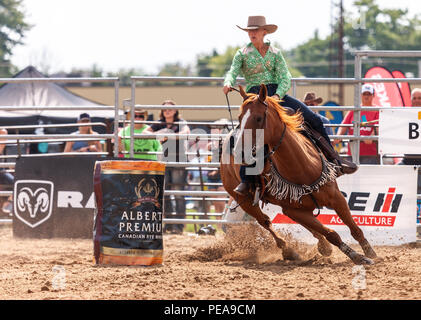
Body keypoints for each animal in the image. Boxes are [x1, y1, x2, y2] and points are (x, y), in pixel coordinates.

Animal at [220, 84, 378, 264]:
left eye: (259, 118)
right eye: (240, 118)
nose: (239, 152)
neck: (301, 166)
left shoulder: (336, 197)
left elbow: (353, 228)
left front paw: (369, 252)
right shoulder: (293, 210)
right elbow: (332, 234)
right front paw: (357, 257)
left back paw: (321, 246)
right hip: (244, 199)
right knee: (265, 221)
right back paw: (288, 249)